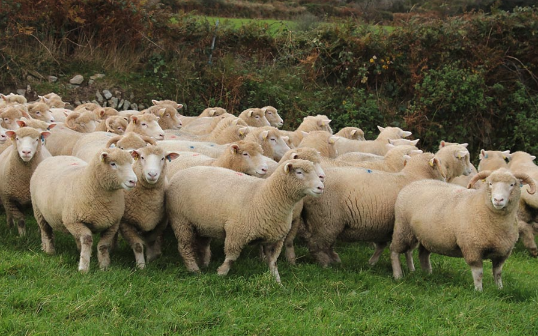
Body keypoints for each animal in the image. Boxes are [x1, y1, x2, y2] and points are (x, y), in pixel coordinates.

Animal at [165, 159, 322, 282]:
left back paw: (204, 264)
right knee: (185, 247)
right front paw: (221, 273)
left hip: (203, 224)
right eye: (299, 172)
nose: (321, 187)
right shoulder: (236, 232)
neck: (264, 195)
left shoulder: (275, 239)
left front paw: (277, 282)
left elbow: (273, 263)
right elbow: (231, 257)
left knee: (202, 244)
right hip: (181, 220)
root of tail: (179, 173)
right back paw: (194, 270)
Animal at [390, 169, 532, 290]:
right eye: (490, 183)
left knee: (421, 255)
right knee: (395, 250)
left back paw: (427, 274)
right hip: (403, 229)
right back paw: (398, 275)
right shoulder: (472, 248)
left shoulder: (502, 253)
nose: (498, 200)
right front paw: (479, 291)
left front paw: (499, 289)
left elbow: (497, 273)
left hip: (426, 236)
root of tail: (411, 184)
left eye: (512, 184)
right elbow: (478, 273)